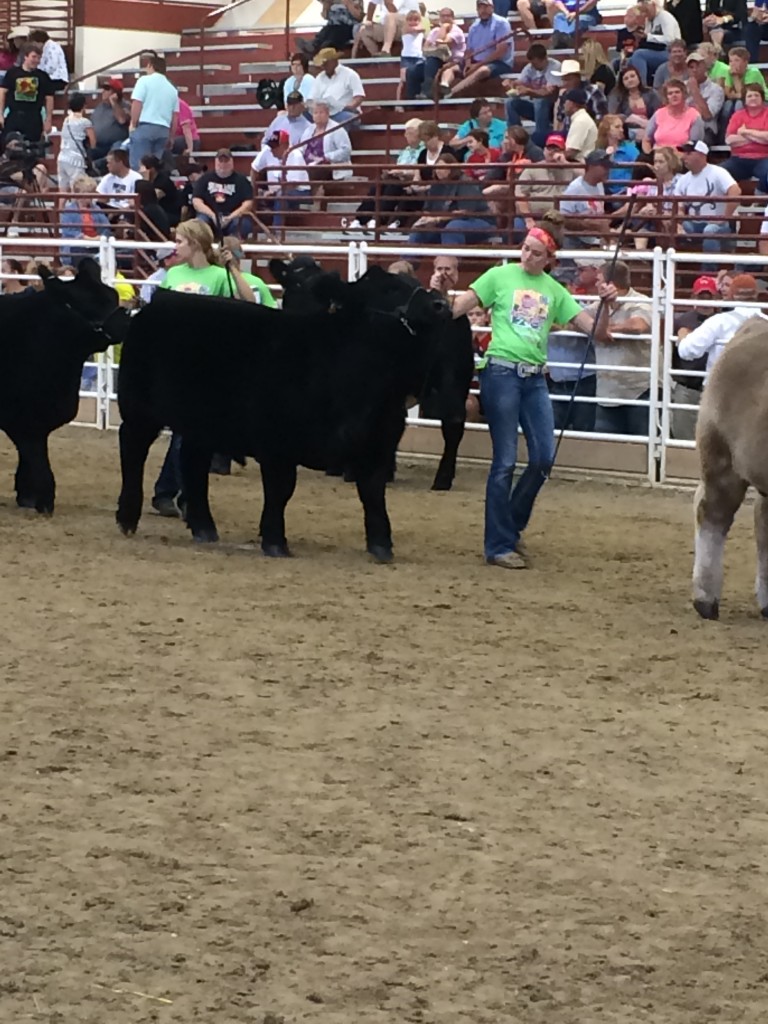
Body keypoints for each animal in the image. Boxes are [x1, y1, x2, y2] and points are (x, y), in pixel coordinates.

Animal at [0, 256, 121, 512]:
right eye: (86, 303)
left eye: (112, 295)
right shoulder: (20, 419)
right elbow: (37, 460)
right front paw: (44, 501)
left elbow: (30, 459)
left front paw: (26, 497)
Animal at [118, 266, 454, 561]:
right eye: (389, 288)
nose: (440, 304)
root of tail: (157, 304)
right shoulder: (276, 443)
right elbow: (281, 490)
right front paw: (275, 541)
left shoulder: (378, 442)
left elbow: (373, 494)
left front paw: (381, 544)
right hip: (139, 409)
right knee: (132, 449)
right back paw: (127, 517)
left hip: (202, 423)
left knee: (192, 462)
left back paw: (203, 527)